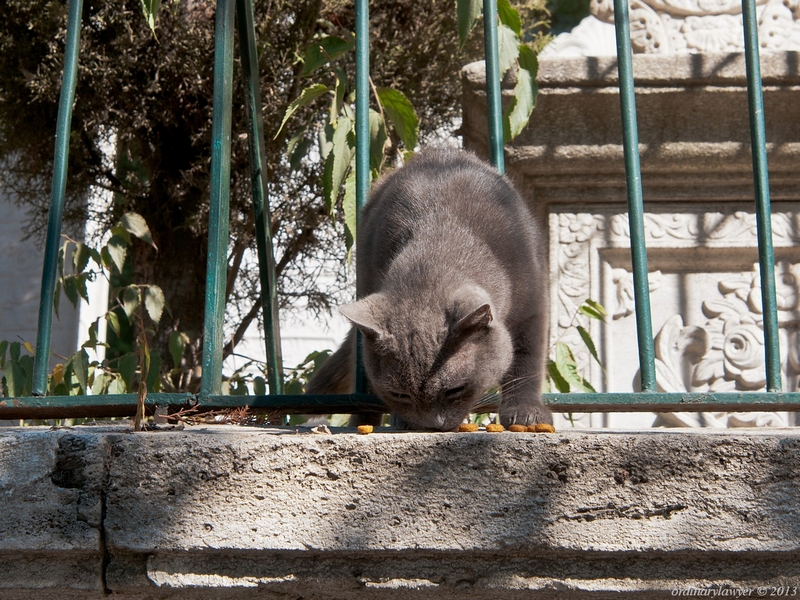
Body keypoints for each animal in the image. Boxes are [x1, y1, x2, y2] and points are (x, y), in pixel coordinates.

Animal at [306, 149, 552, 432]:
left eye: (456, 389)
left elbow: (526, 360)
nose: (431, 426)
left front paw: (526, 412)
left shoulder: (531, 308)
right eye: (400, 394)